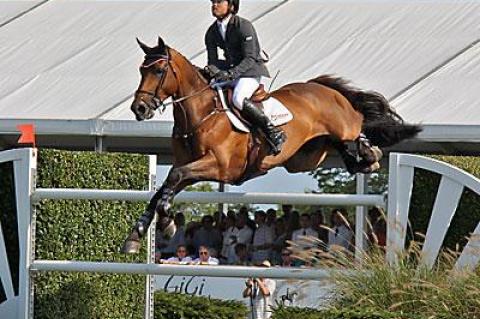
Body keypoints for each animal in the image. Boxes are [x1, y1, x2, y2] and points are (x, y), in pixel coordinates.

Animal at [123, 36, 420, 254]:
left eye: (159, 70)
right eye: (140, 70)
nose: (139, 108)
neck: (201, 114)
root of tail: (324, 88)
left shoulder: (218, 167)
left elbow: (174, 177)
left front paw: (166, 222)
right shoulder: (191, 165)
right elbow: (163, 188)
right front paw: (137, 235)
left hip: (341, 127)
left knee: (356, 130)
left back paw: (372, 154)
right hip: (306, 158)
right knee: (343, 149)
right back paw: (367, 158)